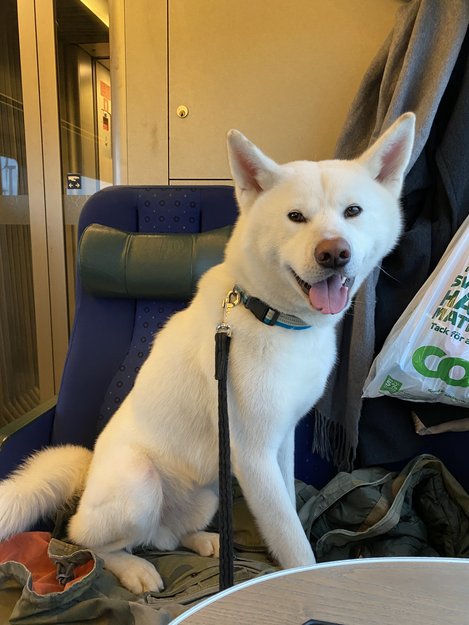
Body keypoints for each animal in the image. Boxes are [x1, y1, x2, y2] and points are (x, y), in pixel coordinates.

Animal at [0, 113, 415, 594]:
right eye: (296, 217)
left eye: (353, 211)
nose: (334, 252)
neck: (270, 316)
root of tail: (87, 474)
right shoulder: (253, 455)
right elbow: (290, 537)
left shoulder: (280, 441)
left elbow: (289, 509)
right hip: (138, 482)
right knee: (91, 542)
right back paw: (134, 569)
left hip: (209, 492)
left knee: (165, 536)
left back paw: (204, 541)